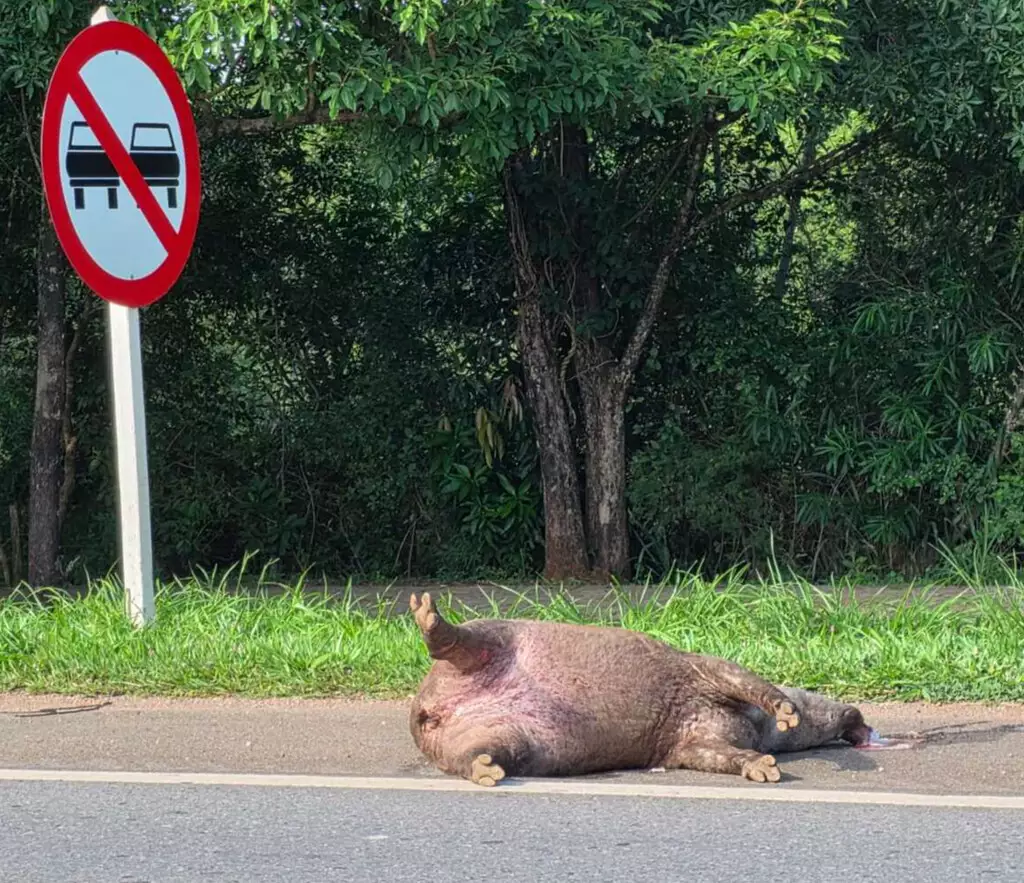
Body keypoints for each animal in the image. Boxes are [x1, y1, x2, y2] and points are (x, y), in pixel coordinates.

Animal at [408, 592, 873, 786]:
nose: (858, 718)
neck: (754, 727)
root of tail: (424, 711)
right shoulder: (702, 668)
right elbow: (744, 678)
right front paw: (786, 711)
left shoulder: (689, 744)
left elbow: (721, 755)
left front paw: (762, 767)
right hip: (493, 634)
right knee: (463, 641)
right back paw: (428, 616)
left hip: (488, 738)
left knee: (476, 753)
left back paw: (487, 770)